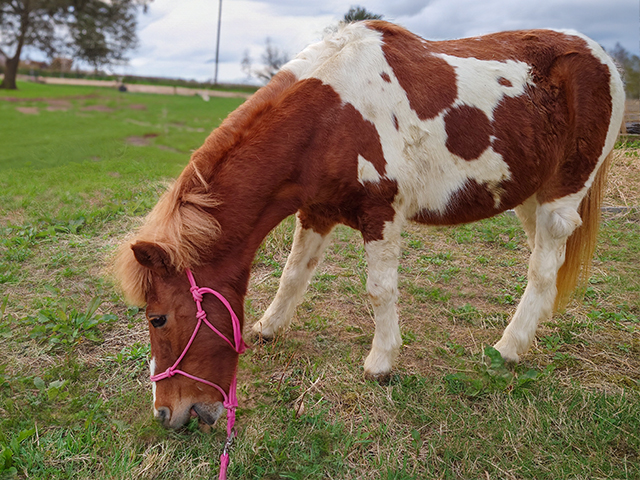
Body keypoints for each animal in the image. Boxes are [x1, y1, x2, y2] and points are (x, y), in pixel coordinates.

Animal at [112, 20, 624, 430]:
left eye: (157, 318)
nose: (166, 414)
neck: (329, 118)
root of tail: (603, 60)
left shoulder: (381, 214)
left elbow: (379, 291)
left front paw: (381, 363)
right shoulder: (316, 212)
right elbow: (293, 275)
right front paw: (268, 327)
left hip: (560, 196)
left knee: (542, 268)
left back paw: (509, 348)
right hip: (528, 196)